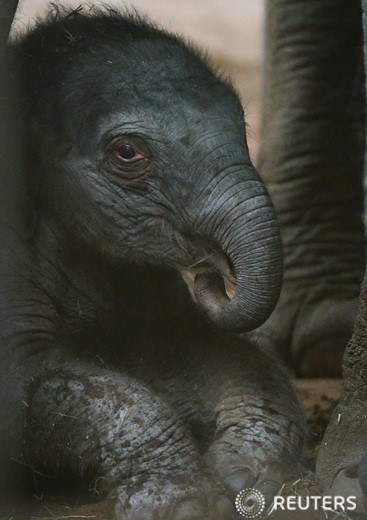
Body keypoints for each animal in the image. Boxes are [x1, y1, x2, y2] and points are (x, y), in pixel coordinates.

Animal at [0, 8, 304, 520]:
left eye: (243, 124)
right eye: (128, 152)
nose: (214, 274)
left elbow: (213, 357)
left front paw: (247, 479)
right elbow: (34, 380)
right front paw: (190, 505)